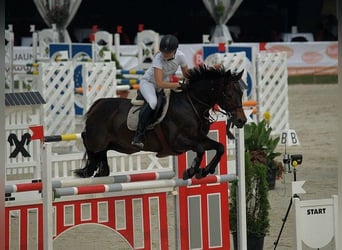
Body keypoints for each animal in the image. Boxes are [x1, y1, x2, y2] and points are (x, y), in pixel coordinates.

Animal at [74, 63, 246, 179]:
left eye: (241, 93)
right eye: (228, 94)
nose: (241, 120)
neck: (192, 104)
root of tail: (97, 104)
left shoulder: (201, 138)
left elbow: (220, 147)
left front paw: (204, 171)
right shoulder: (178, 142)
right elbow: (199, 150)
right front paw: (191, 171)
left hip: (115, 144)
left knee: (101, 152)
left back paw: (101, 170)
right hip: (97, 140)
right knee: (86, 140)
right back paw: (89, 170)